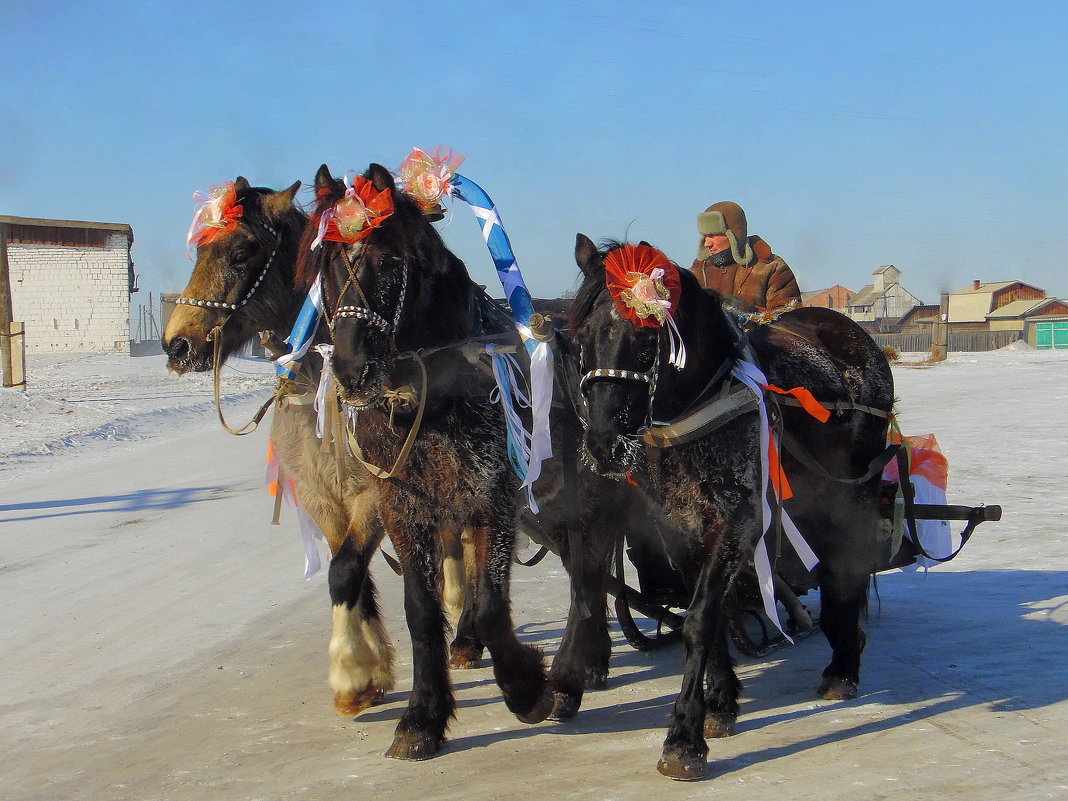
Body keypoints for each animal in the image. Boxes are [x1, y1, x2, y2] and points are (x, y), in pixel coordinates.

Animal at [164, 178, 399, 717]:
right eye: (200, 251)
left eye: (242, 252)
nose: (176, 345)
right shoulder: (319, 496)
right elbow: (348, 570)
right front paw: (371, 671)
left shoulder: (373, 493)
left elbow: (346, 569)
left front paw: (349, 675)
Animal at [296, 164, 555, 760]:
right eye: (327, 265)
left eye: (391, 263)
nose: (351, 371)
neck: (432, 397)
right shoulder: (401, 505)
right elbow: (419, 610)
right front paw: (422, 715)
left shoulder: (492, 496)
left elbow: (491, 603)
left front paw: (528, 689)